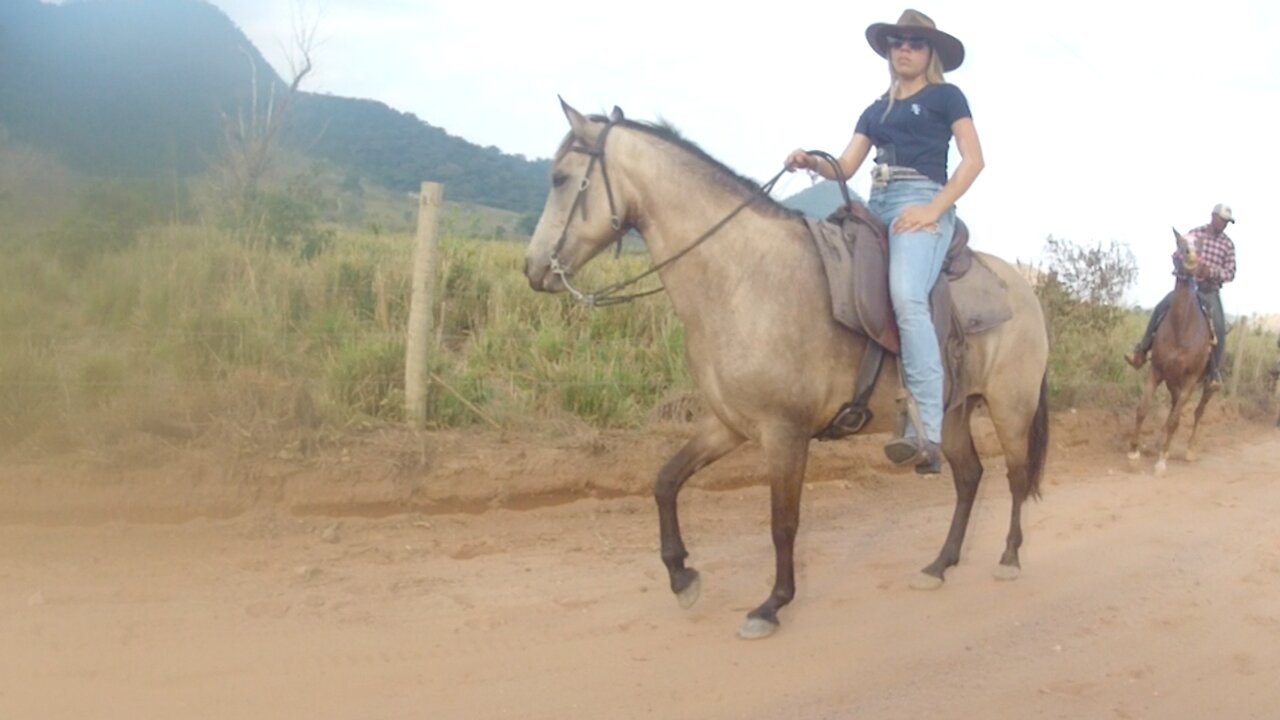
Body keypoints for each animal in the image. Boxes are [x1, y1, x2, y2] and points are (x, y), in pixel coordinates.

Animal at [522, 101, 1049, 638]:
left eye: (560, 178)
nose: (533, 268)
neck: (743, 278)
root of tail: (1025, 287)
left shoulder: (785, 432)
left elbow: (783, 523)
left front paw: (771, 604)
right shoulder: (728, 424)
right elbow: (665, 482)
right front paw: (682, 576)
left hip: (1010, 408)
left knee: (1015, 476)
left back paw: (1008, 558)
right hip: (957, 411)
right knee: (969, 478)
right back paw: (939, 565)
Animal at [1126, 229, 1213, 474]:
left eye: (1200, 245)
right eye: (1179, 243)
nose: (1191, 256)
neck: (1181, 327)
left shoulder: (1191, 380)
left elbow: (1176, 420)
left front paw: (1162, 461)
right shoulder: (1156, 371)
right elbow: (1143, 409)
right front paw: (1133, 453)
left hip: (1205, 386)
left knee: (1197, 411)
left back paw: (1189, 450)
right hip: (1173, 381)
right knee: (1175, 406)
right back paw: (1158, 443)